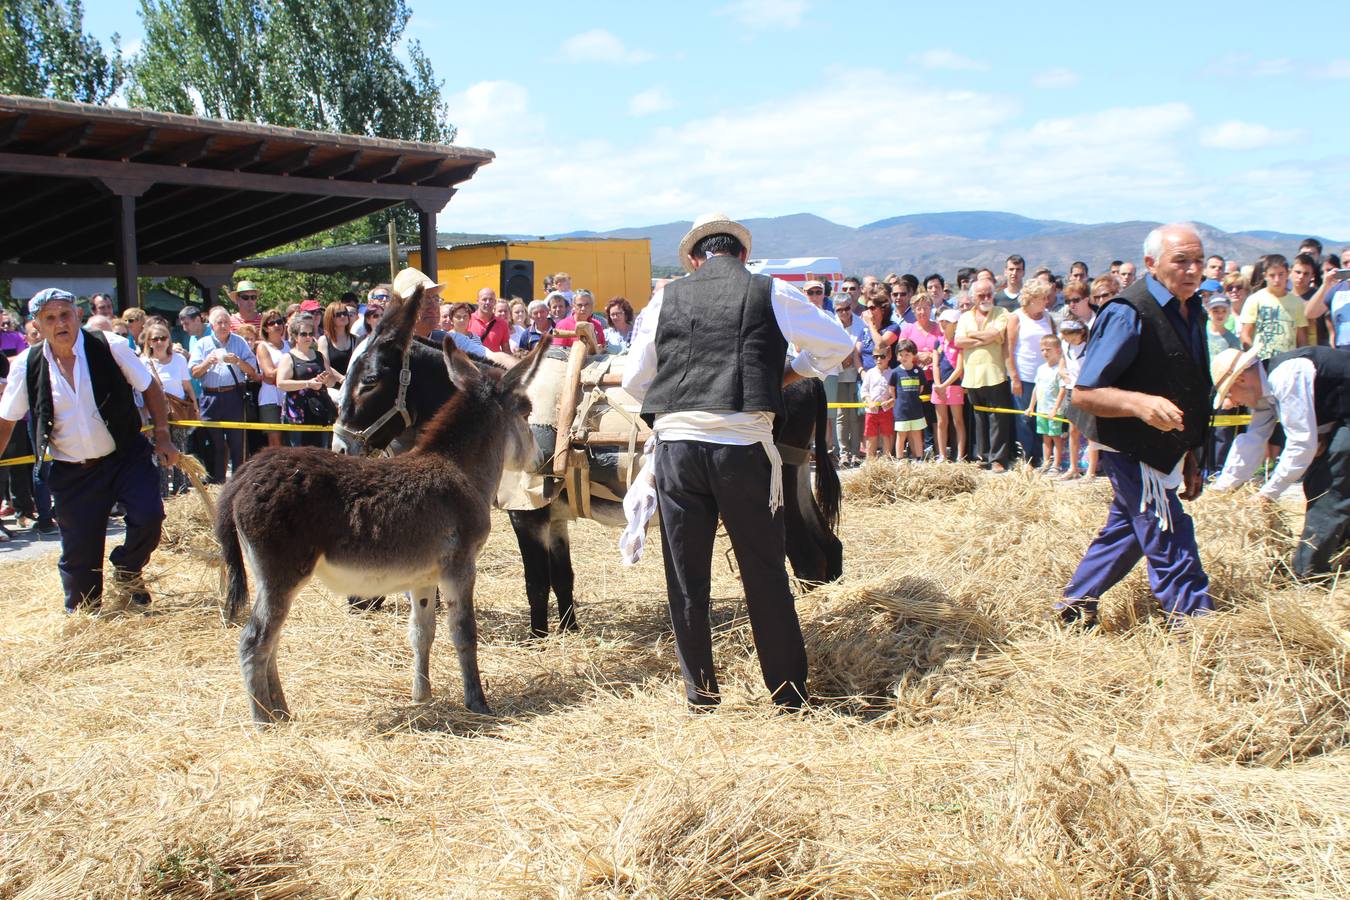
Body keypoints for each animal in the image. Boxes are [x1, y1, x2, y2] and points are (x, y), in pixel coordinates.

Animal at [211, 330, 548, 723]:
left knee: (271, 641)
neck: (459, 469)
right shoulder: (460, 568)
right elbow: (464, 633)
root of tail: (245, 471)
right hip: (279, 574)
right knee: (254, 641)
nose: (542, 460)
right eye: (526, 412)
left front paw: (422, 696)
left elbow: (422, 632)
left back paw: (281, 711)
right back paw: (264, 721)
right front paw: (477, 702)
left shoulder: (423, 577)